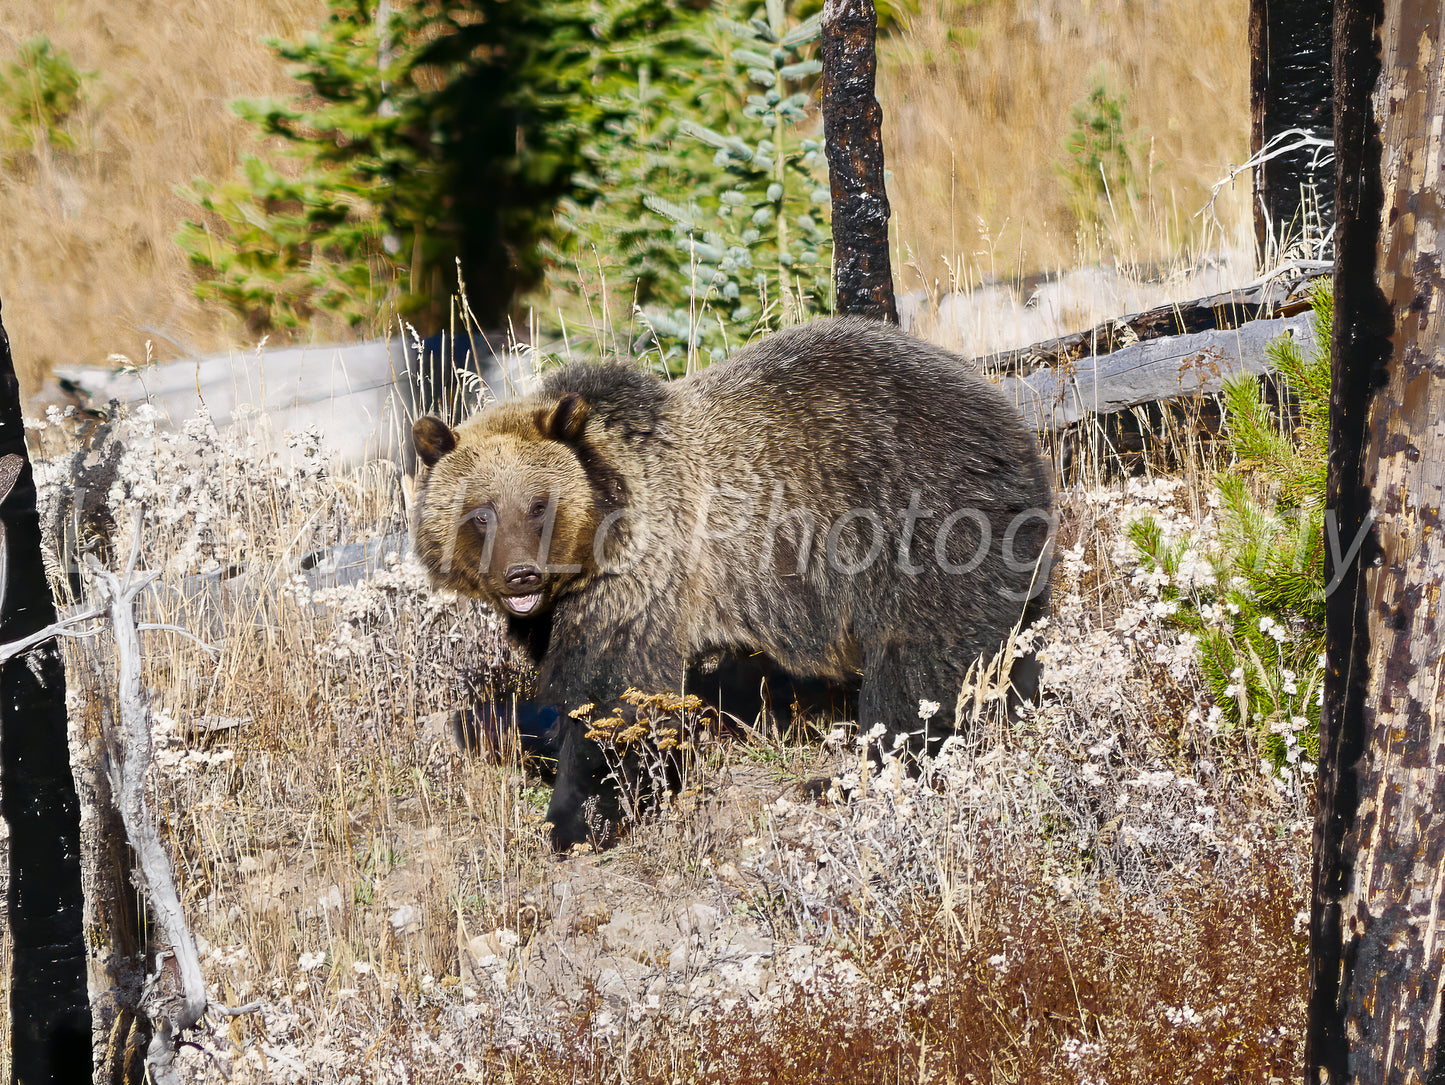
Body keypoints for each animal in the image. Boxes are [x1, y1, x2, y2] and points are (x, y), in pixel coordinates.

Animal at [411, 316, 1053, 850]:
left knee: (914, 668)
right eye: (481, 512)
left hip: (923, 529)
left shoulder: (643, 581)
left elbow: (617, 700)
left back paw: (846, 777)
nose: (520, 573)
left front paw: (575, 820)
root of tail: (1008, 414)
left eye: (539, 505)